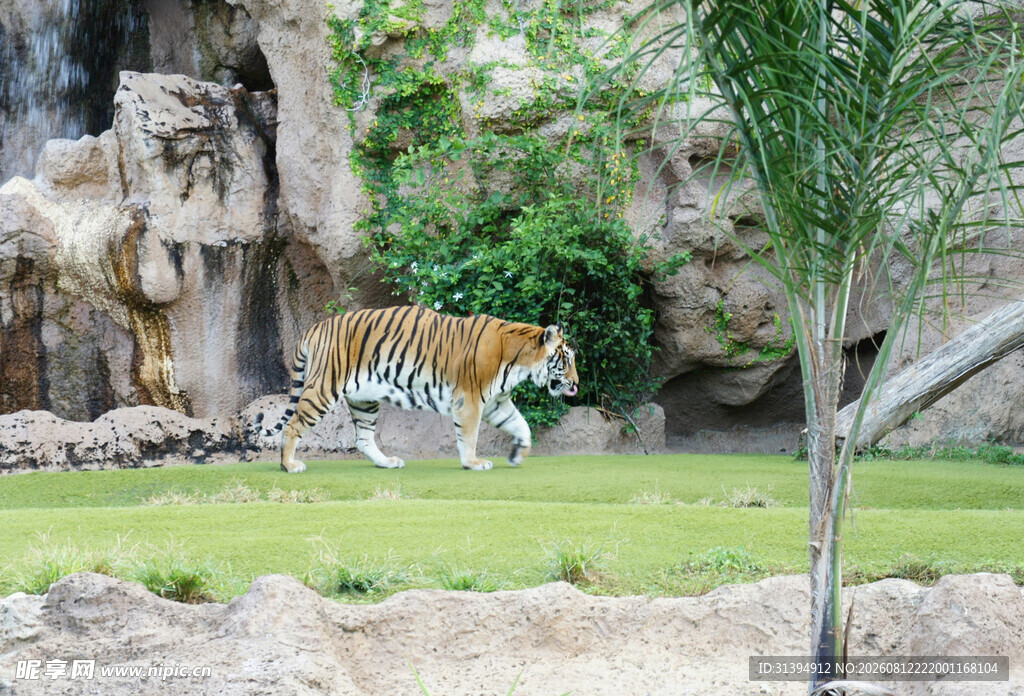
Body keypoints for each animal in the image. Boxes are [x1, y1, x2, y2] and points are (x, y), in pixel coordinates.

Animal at [256, 306, 579, 472]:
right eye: (567, 359)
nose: (576, 384)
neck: (520, 361)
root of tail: (316, 327)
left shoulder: (496, 402)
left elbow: (521, 425)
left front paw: (517, 455)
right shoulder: (470, 399)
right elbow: (469, 436)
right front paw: (473, 463)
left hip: (364, 399)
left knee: (363, 438)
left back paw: (388, 463)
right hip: (324, 388)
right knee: (293, 425)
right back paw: (289, 465)